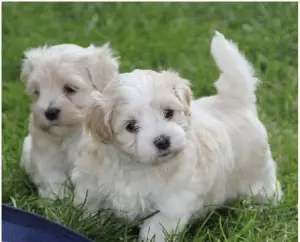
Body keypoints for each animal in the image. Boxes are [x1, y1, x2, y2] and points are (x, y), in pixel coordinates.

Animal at [19, 42, 118, 199]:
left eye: (70, 89)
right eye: (37, 92)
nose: (50, 112)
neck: (70, 135)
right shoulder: (47, 157)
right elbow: (53, 178)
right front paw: (56, 198)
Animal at [71, 32, 282, 242]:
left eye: (169, 113)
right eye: (131, 126)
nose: (163, 141)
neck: (136, 166)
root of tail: (234, 101)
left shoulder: (173, 203)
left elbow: (155, 230)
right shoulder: (91, 186)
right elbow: (91, 210)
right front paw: (89, 225)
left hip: (257, 173)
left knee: (267, 189)